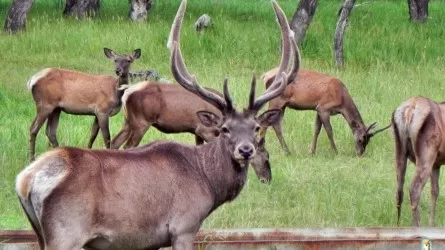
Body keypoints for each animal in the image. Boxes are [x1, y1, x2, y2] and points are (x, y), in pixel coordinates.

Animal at [14, 0, 298, 249]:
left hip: (40, 232)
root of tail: (25, 180)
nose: (246, 150)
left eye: (256, 128)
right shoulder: (184, 226)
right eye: (225, 129)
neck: (209, 183)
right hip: (66, 232)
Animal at [260, 67, 388, 155]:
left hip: (282, 105)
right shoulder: (324, 108)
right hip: (276, 101)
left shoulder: (318, 108)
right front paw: (335, 151)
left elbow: (317, 129)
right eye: (361, 139)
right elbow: (329, 130)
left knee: (276, 124)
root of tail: (265, 75)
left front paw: (312, 151)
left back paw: (287, 151)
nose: (360, 153)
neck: (342, 100)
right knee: (265, 121)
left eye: (368, 140)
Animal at [394, 95, 442, 227]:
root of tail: (410, 109)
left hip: (400, 151)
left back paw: (398, 224)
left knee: (399, 190)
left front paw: (432, 223)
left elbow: (435, 190)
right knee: (414, 189)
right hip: (426, 155)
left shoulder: (436, 164)